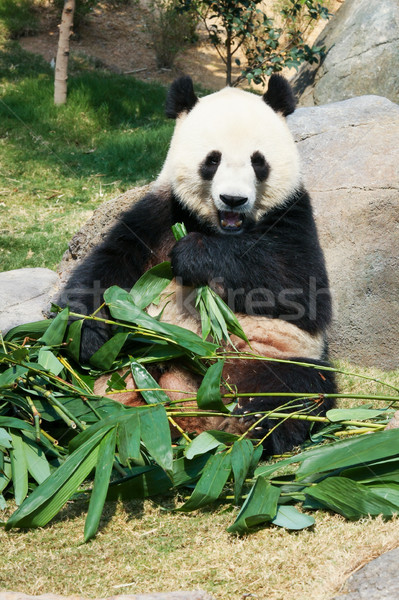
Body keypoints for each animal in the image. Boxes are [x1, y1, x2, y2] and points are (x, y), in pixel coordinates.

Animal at [61, 75, 338, 452]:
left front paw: (195, 255)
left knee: (299, 390)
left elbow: (299, 289)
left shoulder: (292, 216)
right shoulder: (160, 214)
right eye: (212, 160)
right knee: (73, 379)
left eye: (258, 161)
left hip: (270, 358)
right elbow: (108, 267)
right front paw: (89, 332)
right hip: (135, 356)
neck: (222, 229)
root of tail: (197, 412)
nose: (233, 199)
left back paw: (258, 426)